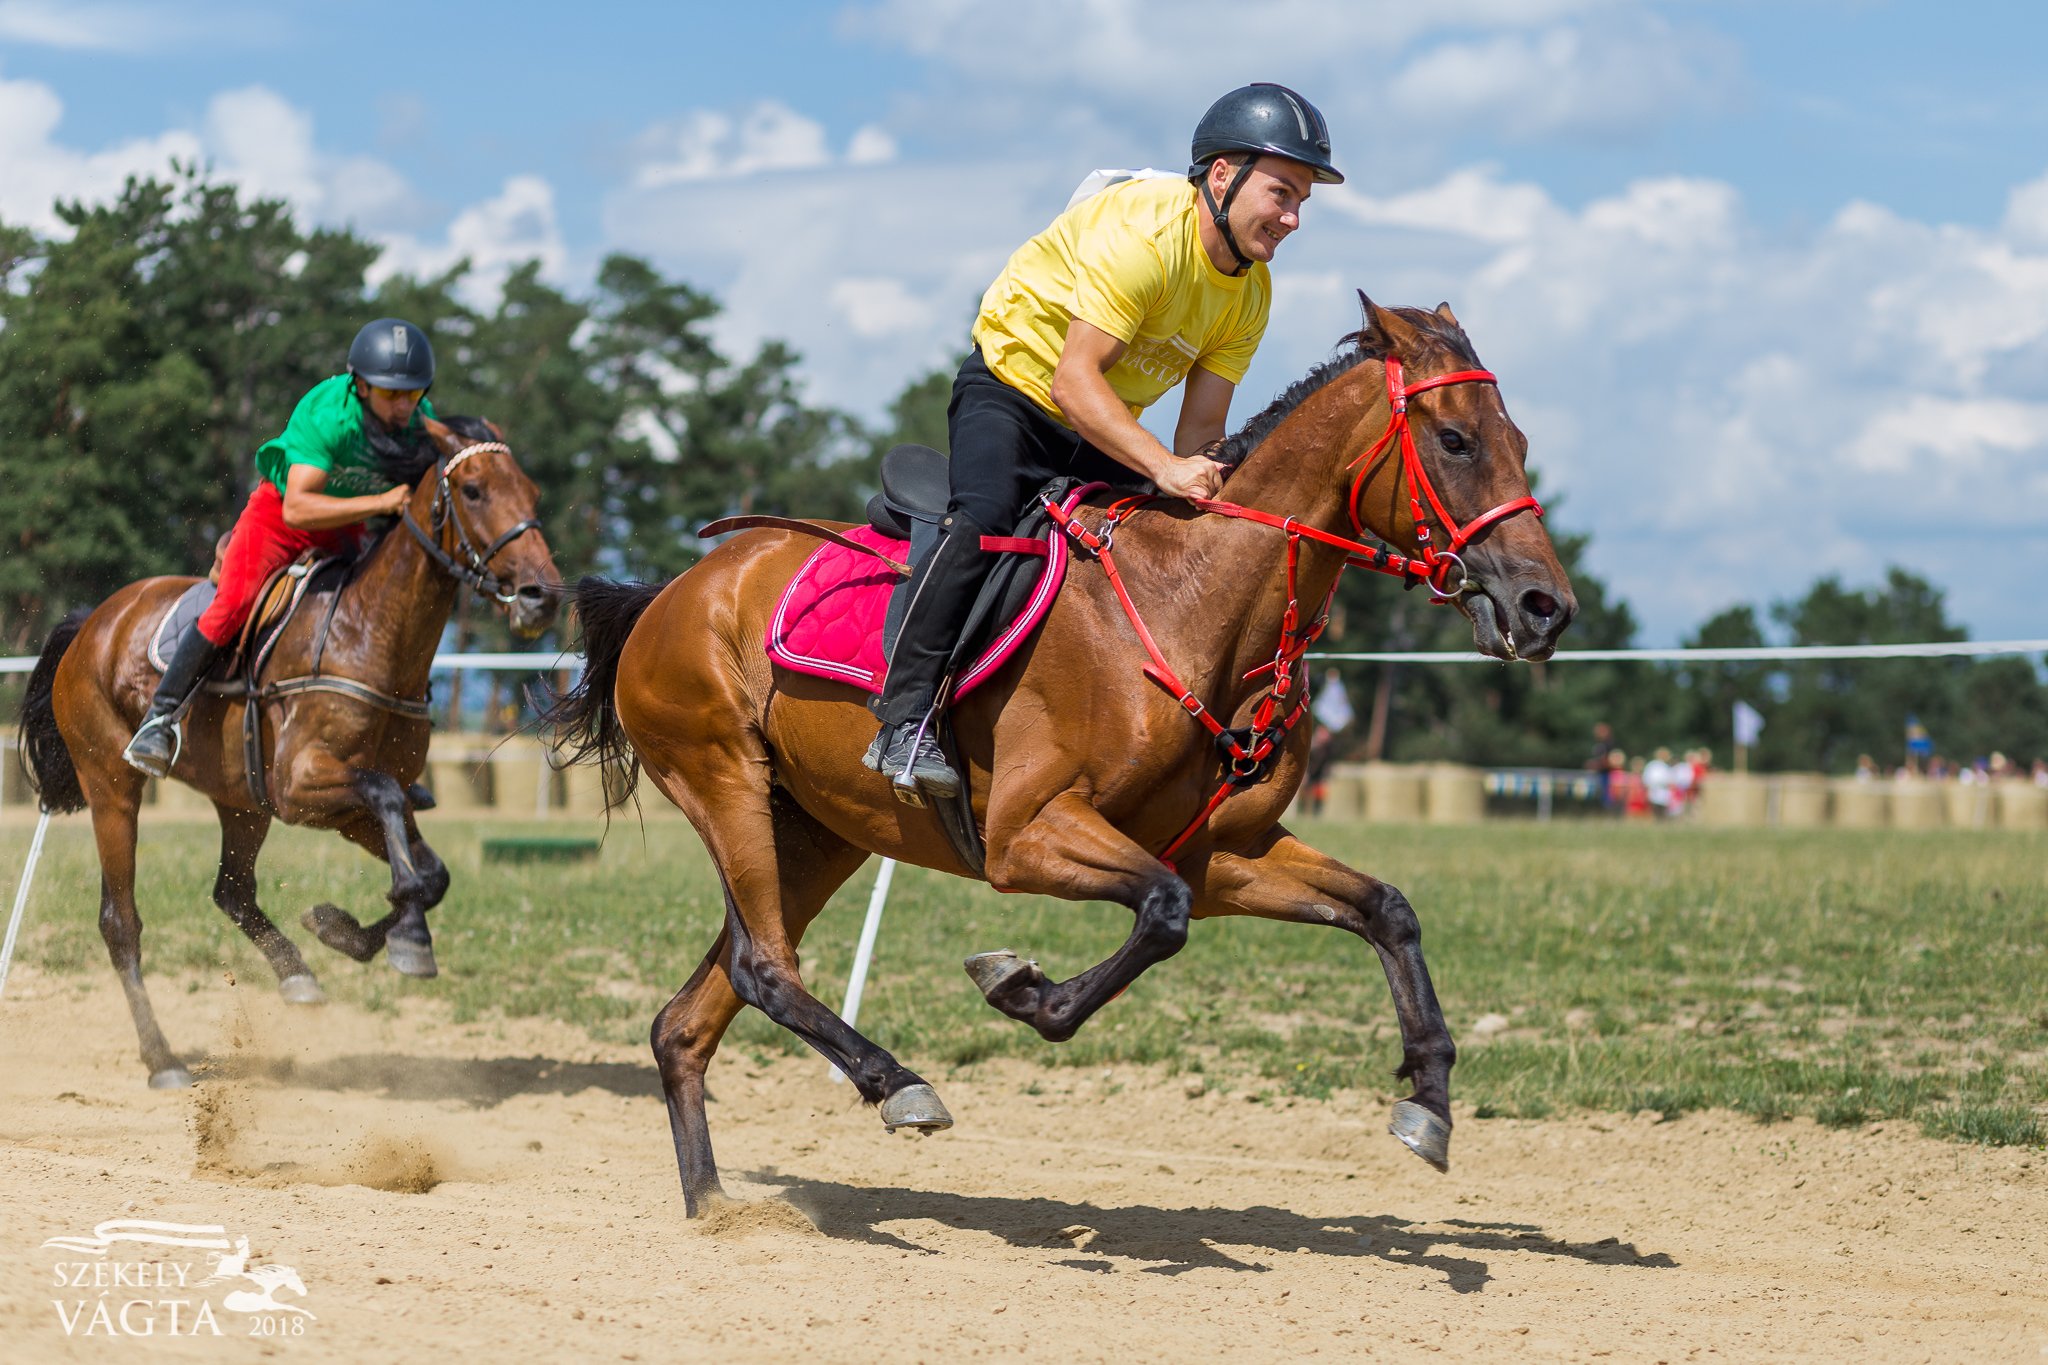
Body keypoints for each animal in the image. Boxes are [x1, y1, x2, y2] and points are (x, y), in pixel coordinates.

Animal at [19, 417, 561, 1088]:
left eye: (532, 492)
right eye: (475, 490)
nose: (541, 595)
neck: (372, 634)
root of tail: (92, 620)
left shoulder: (347, 809)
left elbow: (429, 871)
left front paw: (352, 929)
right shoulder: (306, 788)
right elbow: (389, 804)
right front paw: (403, 935)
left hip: (242, 800)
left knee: (232, 891)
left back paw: (297, 975)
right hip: (111, 787)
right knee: (120, 921)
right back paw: (162, 1059)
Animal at [552, 300, 1572, 1219]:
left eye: (1520, 437)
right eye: (1455, 440)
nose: (1546, 607)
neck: (1192, 602)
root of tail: (670, 591)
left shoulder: (1226, 854)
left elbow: (1384, 909)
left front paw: (1429, 1100)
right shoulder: (1027, 837)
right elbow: (1159, 914)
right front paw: (1022, 987)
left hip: (816, 831)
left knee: (691, 1017)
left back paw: (715, 1204)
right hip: (724, 779)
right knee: (764, 966)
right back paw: (897, 1085)